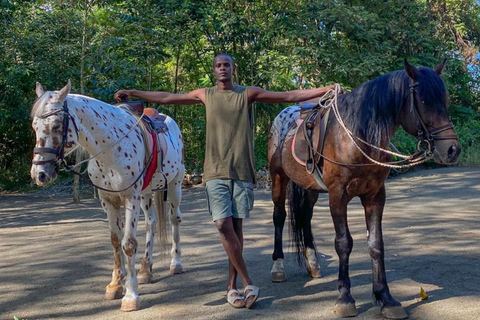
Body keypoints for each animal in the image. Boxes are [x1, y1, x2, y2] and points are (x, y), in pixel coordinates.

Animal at [29, 81, 184, 312]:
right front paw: (115, 284)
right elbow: (115, 240)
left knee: (174, 220)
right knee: (151, 223)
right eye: (34, 126)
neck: (110, 149)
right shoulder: (108, 200)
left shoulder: (130, 197)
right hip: (146, 194)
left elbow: (128, 244)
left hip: (174, 186)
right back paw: (145, 270)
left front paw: (130, 295)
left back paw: (176, 264)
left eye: (57, 125)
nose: (39, 173)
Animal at [268, 59, 460, 318]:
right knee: (279, 216)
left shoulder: (375, 195)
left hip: (310, 189)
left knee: (305, 217)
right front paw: (344, 298)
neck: (355, 136)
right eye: (423, 101)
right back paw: (277, 267)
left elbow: (376, 245)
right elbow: (343, 243)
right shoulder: (338, 195)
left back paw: (313, 264)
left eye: (444, 101)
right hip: (278, 178)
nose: (452, 150)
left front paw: (385, 298)